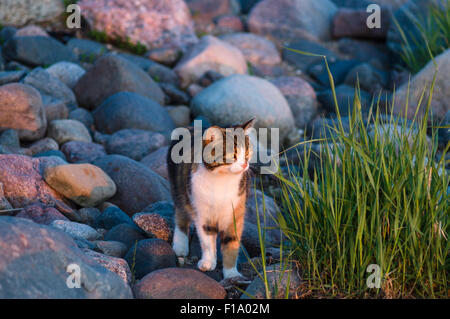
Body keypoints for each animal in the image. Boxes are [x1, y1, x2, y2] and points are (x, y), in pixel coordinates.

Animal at [167, 119, 255, 278]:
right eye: (233, 155)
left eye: (247, 153)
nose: (245, 164)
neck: (221, 180)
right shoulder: (202, 211)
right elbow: (207, 238)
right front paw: (208, 262)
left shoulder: (235, 210)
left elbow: (231, 241)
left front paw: (231, 274)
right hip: (179, 188)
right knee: (181, 214)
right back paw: (180, 245)